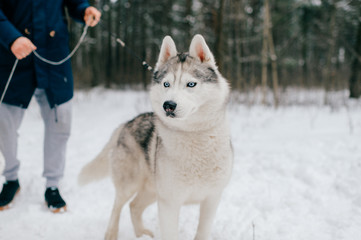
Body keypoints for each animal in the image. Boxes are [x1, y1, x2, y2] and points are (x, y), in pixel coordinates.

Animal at [77, 34, 232, 240]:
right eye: (166, 84)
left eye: (191, 84)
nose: (169, 105)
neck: (193, 135)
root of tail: (126, 123)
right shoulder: (169, 203)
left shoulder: (211, 199)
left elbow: (202, 232)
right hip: (130, 184)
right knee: (117, 207)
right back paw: (112, 234)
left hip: (151, 190)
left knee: (134, 206)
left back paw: (141, 234)